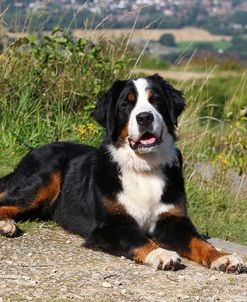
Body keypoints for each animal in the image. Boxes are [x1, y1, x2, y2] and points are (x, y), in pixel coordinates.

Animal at [0, 74, 243, 272]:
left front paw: (223, 257)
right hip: (43, 181)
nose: (144, 117)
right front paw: (161, 253)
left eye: (156, 100)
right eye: (126, 104)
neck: (143, 168)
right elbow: (137, 239)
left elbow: (198, 241)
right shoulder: (111, 225)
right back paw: (6, 224)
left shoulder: (173, 219)